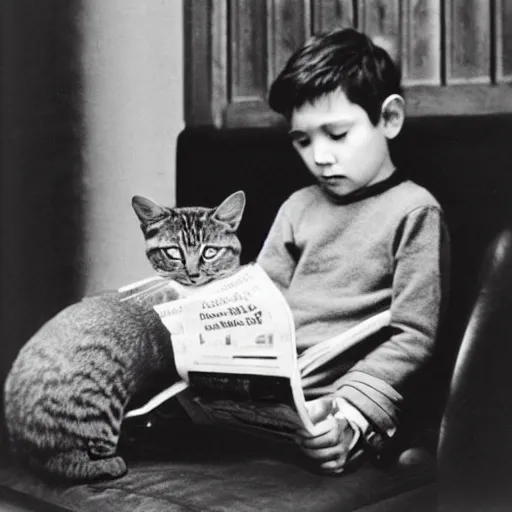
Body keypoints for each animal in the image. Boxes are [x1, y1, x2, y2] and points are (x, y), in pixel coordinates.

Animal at [2, 190, 246, 482]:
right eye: (173, 252)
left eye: (210, 252)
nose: (193, 274)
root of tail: (18, 439)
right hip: (98, 406)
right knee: (68, 463)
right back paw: (110, 463)